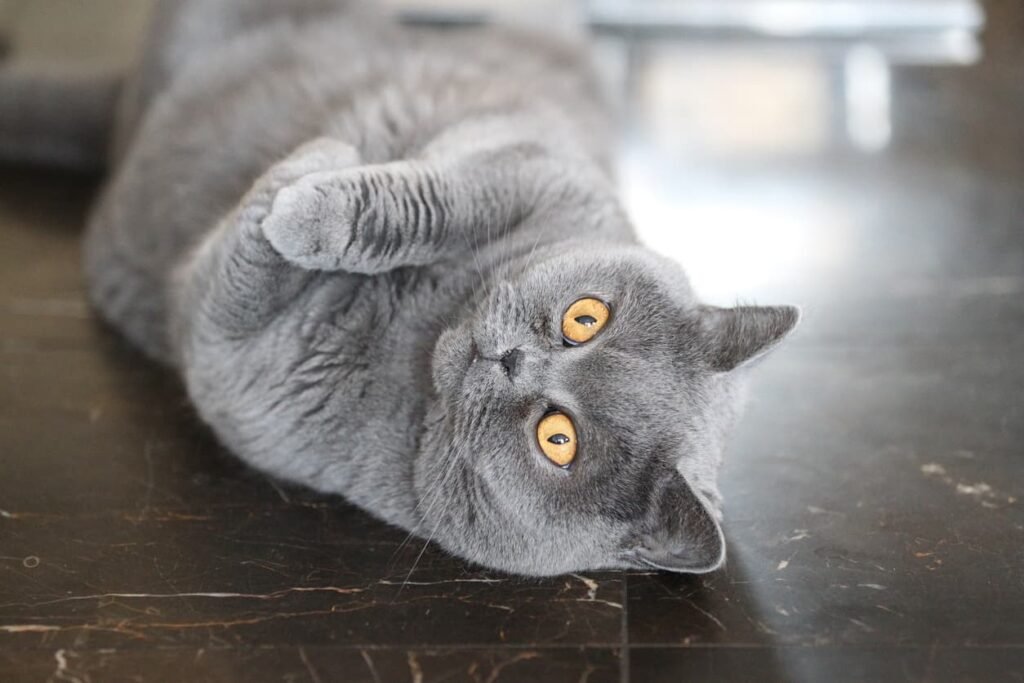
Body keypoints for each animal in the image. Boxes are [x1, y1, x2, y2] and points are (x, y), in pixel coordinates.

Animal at [0, 0, 798, 577]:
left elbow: (237, 280)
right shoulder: (516, 160)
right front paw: (314, 194)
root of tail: (126, 117)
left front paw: (300, 184)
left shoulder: (226, 363)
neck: (424, 322)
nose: (512, 358)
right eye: (585, 318)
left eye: (558, 439)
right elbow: (424, 201)